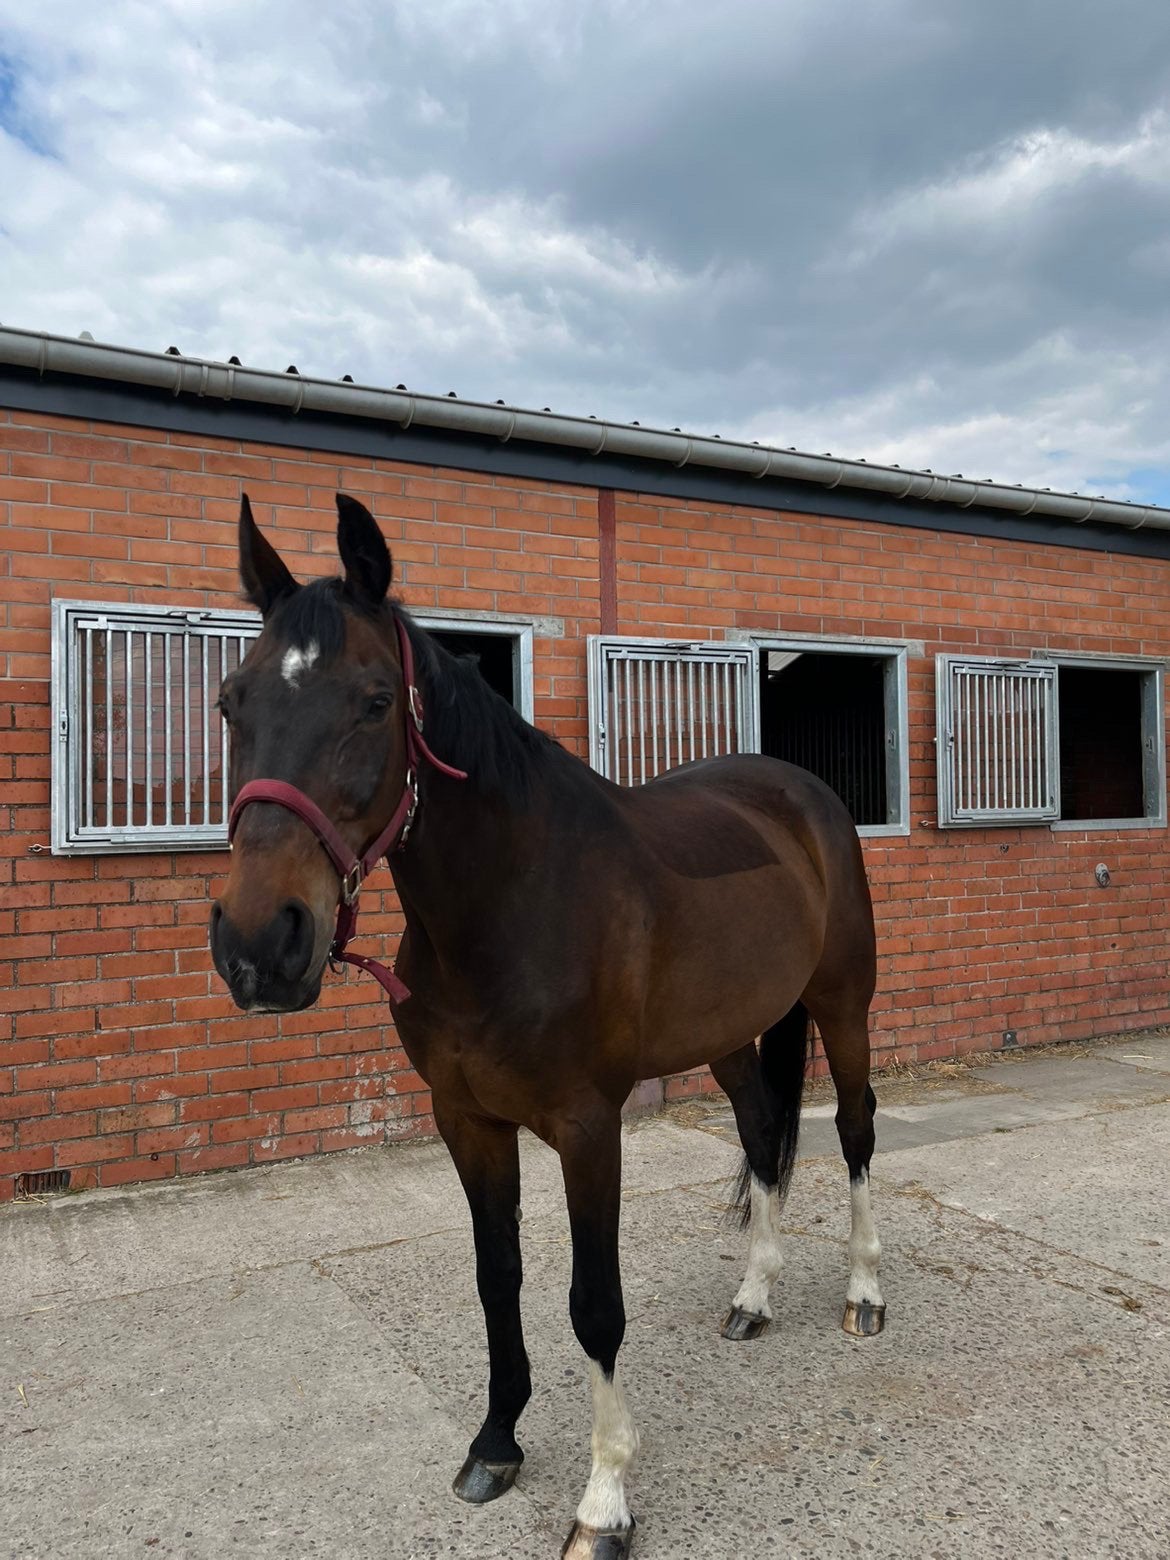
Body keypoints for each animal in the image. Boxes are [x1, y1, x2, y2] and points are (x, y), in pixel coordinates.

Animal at [210, 493, 885, 1559]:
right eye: (233, 702)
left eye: (373, 702)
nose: (257, 947)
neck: (511, 905)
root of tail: (801, 792)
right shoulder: (467, 1121)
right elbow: (499, 1279)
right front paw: (495, 1444)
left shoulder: (587, 1127)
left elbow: (594, 1306)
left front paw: (604, 1502)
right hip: (734, 1038)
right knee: (761, 1136)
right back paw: (752, 1300)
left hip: (842, 1003)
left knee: (855, 1132)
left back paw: (864, 1294)